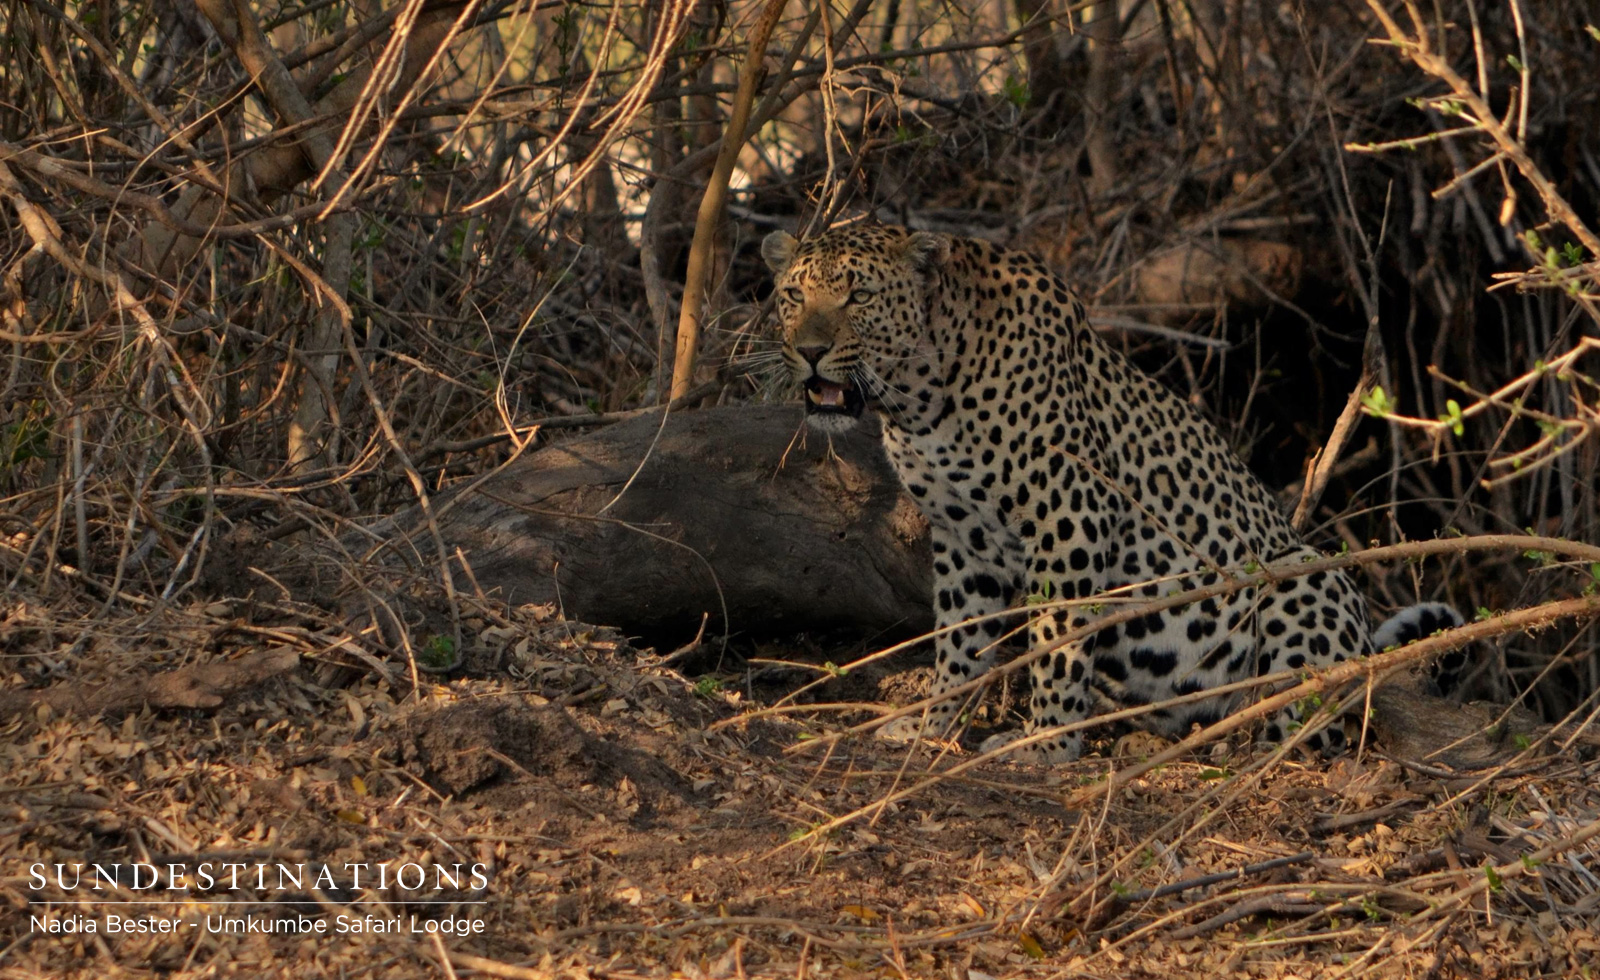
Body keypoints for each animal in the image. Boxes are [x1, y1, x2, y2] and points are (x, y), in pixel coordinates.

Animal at [761, 222, 1463, 763]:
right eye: (793, 295)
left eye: (859, 295)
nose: (811, 350)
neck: (921, 397)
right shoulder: (965, 541)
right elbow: (960, 640)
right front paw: (937, 726)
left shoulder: (1068, 514)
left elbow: (1056, 639)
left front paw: (1044, 743)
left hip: (1305, 575)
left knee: (1316, 725)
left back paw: (1241, 739)